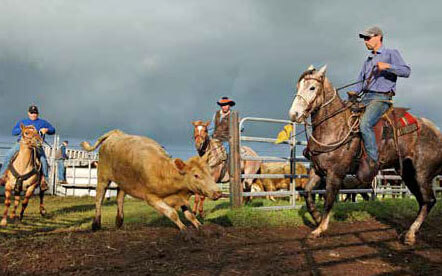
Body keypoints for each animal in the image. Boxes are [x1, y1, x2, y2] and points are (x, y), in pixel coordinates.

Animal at [80, 129, 221, 231]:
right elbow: (171, 213)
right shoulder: (151, 198)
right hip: (103, 176)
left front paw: (200, 226)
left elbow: (189, 214)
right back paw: (96, 224)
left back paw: (119, 221)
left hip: (124, 181)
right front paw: (184, 229)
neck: (163, 172)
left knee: (119, 197)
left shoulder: (179, 196)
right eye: (196, 175)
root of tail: (115, 133)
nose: (218, 192)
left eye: (210, 172)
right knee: (99, 198)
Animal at [288, 65, 440, 246]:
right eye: (298, 86)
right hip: (408, 174)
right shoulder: (316, 170)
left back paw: (410, 234)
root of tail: (436, 131)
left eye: (312, 87)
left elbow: (329, 200)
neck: (335, 127)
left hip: (422, 174)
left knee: (429, 200)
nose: (294, 114)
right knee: (422, 201)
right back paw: (409, 232)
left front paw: (320, 229)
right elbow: (307, 192)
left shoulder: (335, 173)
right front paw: (317, 218)